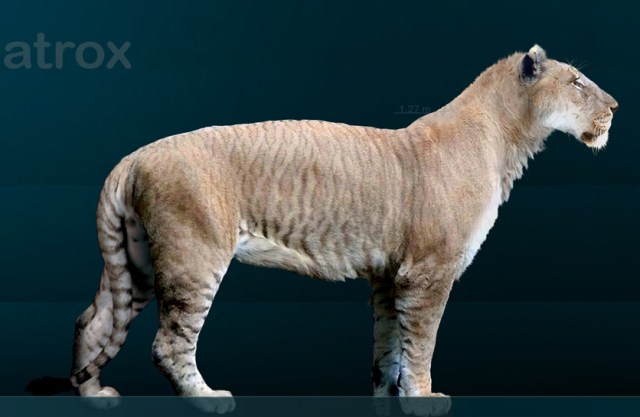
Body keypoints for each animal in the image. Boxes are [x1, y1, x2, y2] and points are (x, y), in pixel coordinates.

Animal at [27, 45, 617, 413]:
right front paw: (425, 399)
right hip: (193, 254)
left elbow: (389, 347)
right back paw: (209, 399)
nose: (614, 106)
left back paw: (94, 395)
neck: (508, 141)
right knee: (168, 344)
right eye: (577, 81)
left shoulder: (390, 277)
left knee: (93, 322)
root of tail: (132, 157)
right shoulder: (428, 274)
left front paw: (388, 395)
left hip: (138, 261)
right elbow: (421, 343)